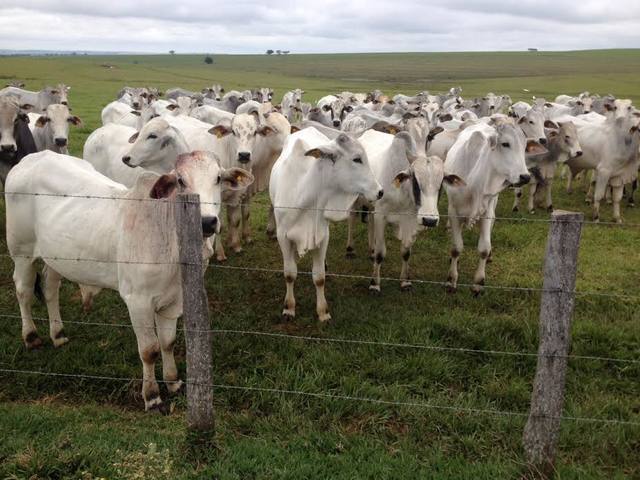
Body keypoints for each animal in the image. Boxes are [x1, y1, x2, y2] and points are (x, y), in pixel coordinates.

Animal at [6, 151, 255, 412]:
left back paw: (58, 334)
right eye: (180, 181)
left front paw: (173, 381)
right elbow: (149, 350)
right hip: (21, 251)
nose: (206, 221)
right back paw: (31, 336)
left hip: (56, 258)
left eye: (218, 178)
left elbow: (167, 342)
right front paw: (152, 396)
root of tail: (33, 158)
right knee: (23, 290)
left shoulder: (173, 301)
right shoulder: (138, 301)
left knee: (50, 288)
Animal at [268, 129, 382, 320]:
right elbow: (290, 274)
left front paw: (323, 312)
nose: (380, 191)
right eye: (357, 159)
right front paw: (289, 307)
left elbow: (319, 277)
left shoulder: (322, 236)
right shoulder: (282, 236)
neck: (303, 196)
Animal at [444, 122, 544, 294]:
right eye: (505, 144)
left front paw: (478, 283)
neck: (474, 182)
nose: (525, 177)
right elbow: (456, 247)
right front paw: (452, 279)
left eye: (525, 146)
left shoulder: (486, 212)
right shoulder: (454, 212)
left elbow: (484, 248)